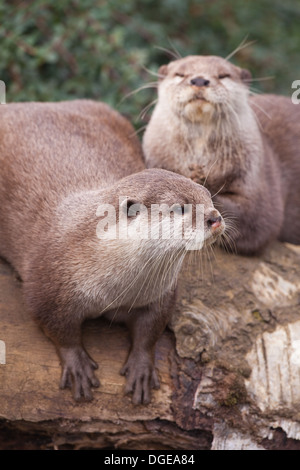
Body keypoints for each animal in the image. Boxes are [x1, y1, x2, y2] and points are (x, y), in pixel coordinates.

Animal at [0, 100, 225, 404]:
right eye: (180, 208)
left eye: (208, 196)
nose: (215, 218)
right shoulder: (47, 282)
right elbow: (56, 326)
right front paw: (77, 365)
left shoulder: (160, 291)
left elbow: (152, 327)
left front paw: (141, 367)